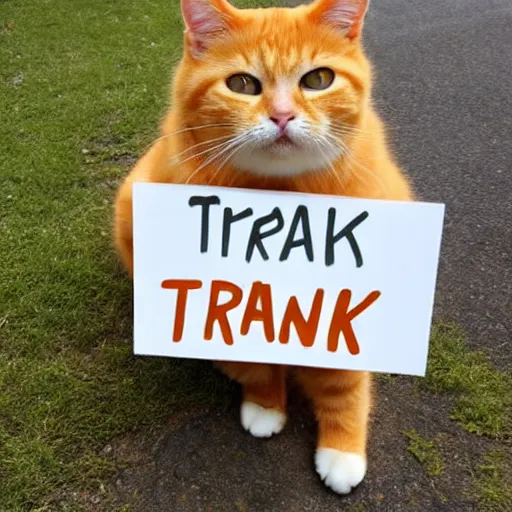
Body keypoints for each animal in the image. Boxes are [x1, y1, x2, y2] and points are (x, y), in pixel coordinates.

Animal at [114, 0, 414, 496]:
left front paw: (343, 450)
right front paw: (266, 405)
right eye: (241, 85)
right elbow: (252, 364)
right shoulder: (221, 303)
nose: (282, 116)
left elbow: (343, 385)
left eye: (318, 79)